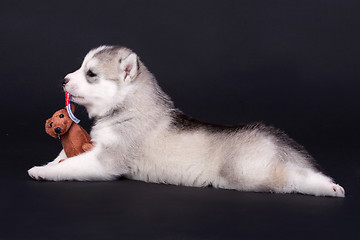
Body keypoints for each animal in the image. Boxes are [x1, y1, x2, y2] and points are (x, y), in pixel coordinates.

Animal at [27, 45, 344, 197]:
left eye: (90, 73)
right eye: (81, 68)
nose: (64, 79)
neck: (127, 107)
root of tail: (269, 134)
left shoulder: (107, 160)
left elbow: (73, 165)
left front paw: (43, 171)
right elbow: (64, 154)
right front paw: (52, 162)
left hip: (247, 173)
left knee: (293, 179)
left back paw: (328, 187)